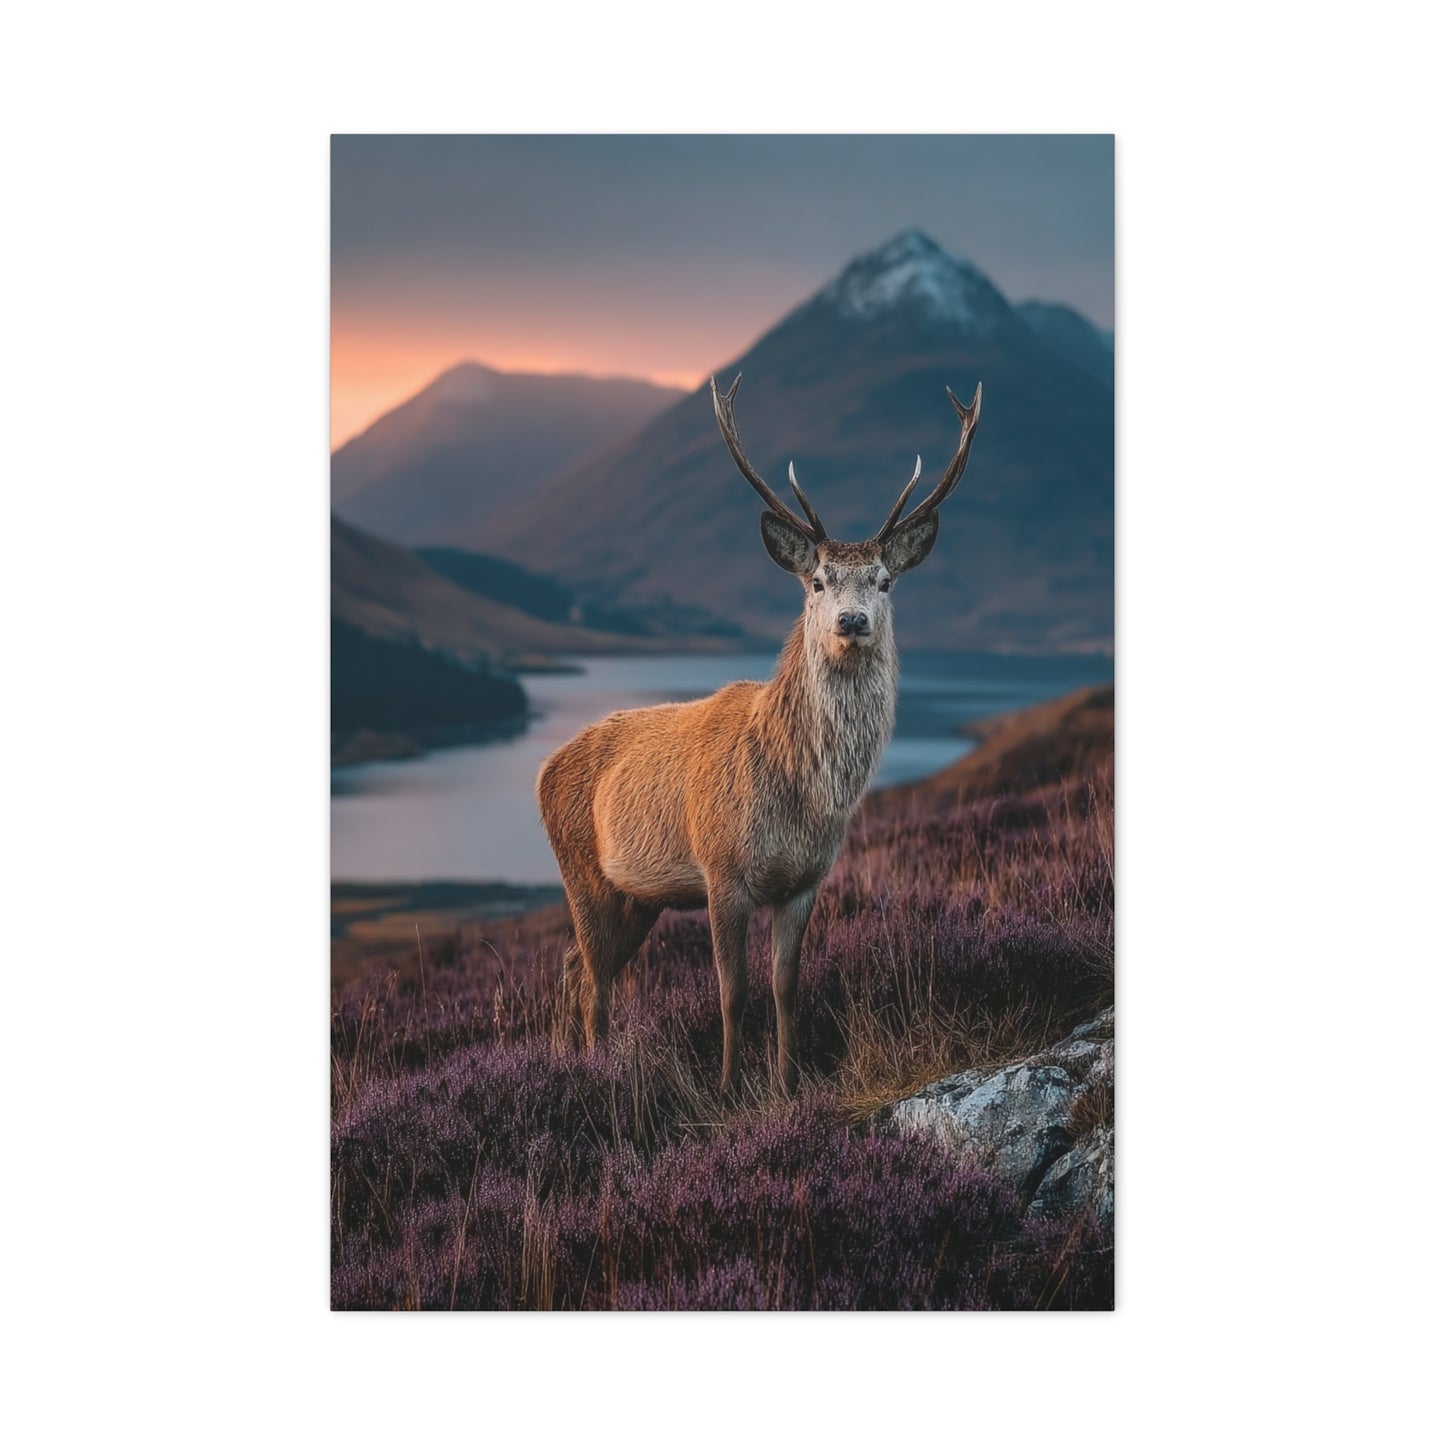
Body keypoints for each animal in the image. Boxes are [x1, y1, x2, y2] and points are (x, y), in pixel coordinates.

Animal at [536, 374, 982, 1095]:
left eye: (884, 581)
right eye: (818, 580)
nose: (852, 620)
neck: (798, 800)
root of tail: (544, 767)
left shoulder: (805, 882)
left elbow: (784, 986)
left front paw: (785, 1081)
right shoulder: (722, 872)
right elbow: (731, 990)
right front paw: (725, 1085)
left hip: (637, 896)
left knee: (576, 967)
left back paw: (569, 1060)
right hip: (582, 871)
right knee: (596, 978)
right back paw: (597, 1070)